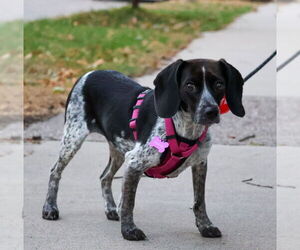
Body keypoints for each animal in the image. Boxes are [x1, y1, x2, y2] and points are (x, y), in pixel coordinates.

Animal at [42, 58, 245, 240]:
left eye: (219, 84)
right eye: (189, 86)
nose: (211, 111)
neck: (185, 129)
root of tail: (89, 72)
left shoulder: (200, 164)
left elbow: (199, 201)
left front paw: (205, 226)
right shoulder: (134, 162)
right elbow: (129, 202)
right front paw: (129, 231)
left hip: (118, 149)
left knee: (105, 176)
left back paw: (110, 209)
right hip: (73, 138)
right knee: (55, 171)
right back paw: (50, 208)